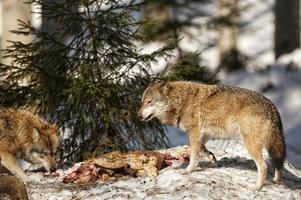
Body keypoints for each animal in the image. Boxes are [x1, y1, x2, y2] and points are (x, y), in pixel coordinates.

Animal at [137, 81, 284, 189]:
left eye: (150, 102)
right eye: (142, 102)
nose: (138, 115)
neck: (181, 102)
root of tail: (272, 107)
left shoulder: (194, 132)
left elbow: (193, 156)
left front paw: (188, 170)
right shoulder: (205, 134)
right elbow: (202, 149)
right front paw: (212, 158)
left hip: (250, 144)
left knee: (264, 167)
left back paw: (257, 187)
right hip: (270, 145)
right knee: (279, 162)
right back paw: (276, 180)